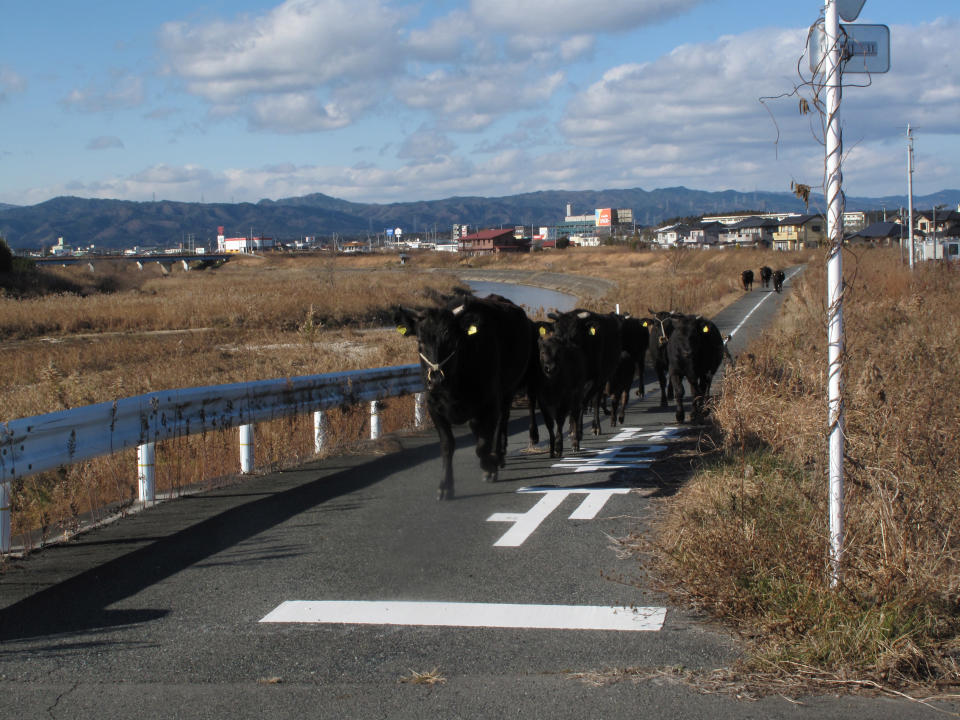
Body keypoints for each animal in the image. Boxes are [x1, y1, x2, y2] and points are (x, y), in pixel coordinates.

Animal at [532, 320, 584, 456]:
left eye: (559, 352)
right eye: (542, 352)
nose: (550, 368)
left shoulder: (565, 398)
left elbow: (560, 421)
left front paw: (558, 447)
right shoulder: (542, 400)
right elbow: (549, 423)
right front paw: (551, 449)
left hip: (577, 394)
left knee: (575, 415)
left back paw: (575, 443)